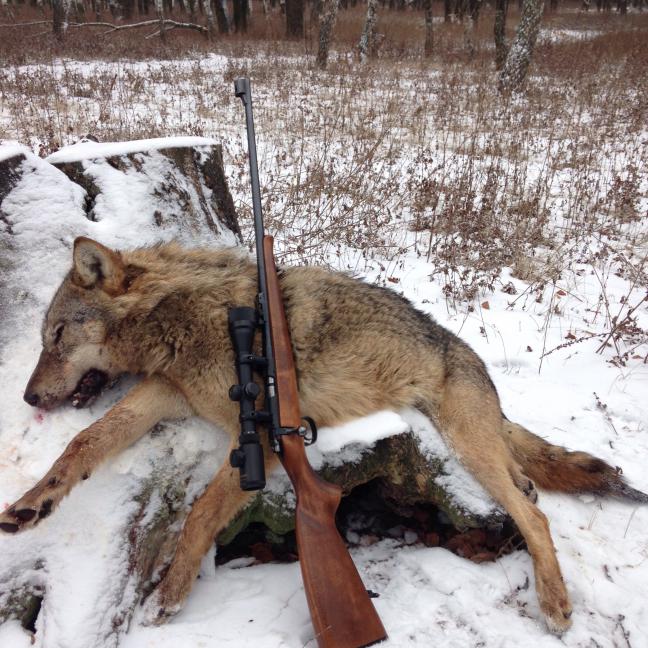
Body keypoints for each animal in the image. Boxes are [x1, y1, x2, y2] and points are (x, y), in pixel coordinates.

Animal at [1, 236, 646, 635]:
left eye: (57, 336)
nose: (28, 397)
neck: (184, 318)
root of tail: (472, 361)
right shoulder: (164, 393)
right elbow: (85, 443)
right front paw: (31, 506)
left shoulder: (255, 436)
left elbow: (203, 511)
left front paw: (170, 594)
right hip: (477, 446)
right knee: (527, 485)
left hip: (467, 443)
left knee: (532, 514)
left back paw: (556, 604)